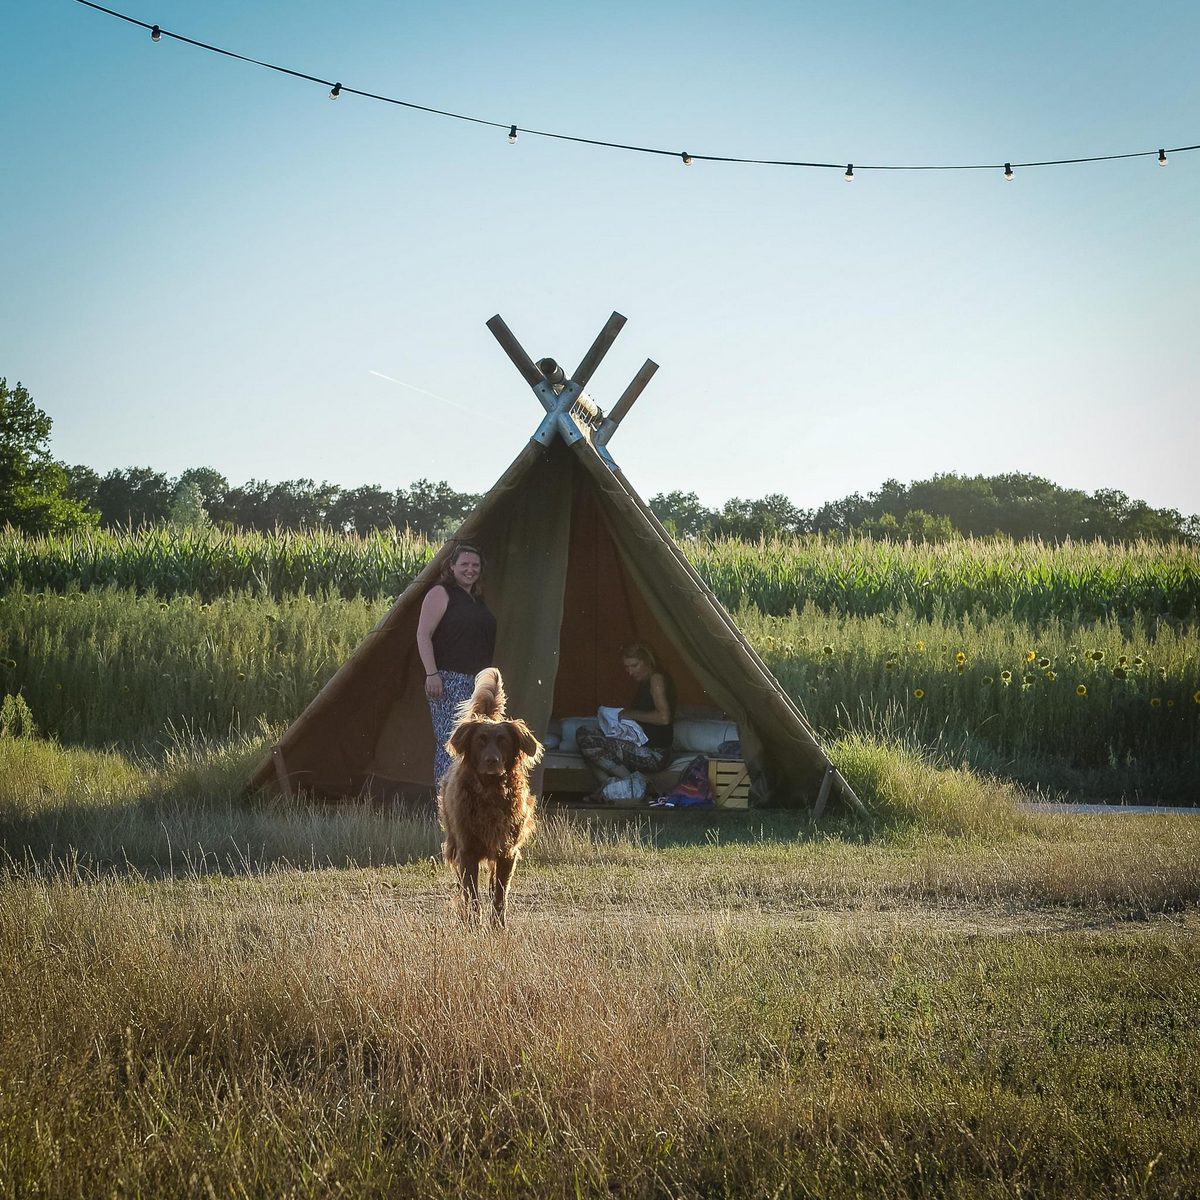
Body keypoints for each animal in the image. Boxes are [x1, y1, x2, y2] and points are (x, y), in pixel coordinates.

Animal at [439, 672, 542, 921]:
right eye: (481, 740)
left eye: (503, 740)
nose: (492, 761)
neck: (491, 792)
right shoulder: (467, 851)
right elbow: (472, 894)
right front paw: (473, 923)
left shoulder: (507, 852)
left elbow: (500, 895)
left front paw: (498, 925)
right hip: (453, 843)